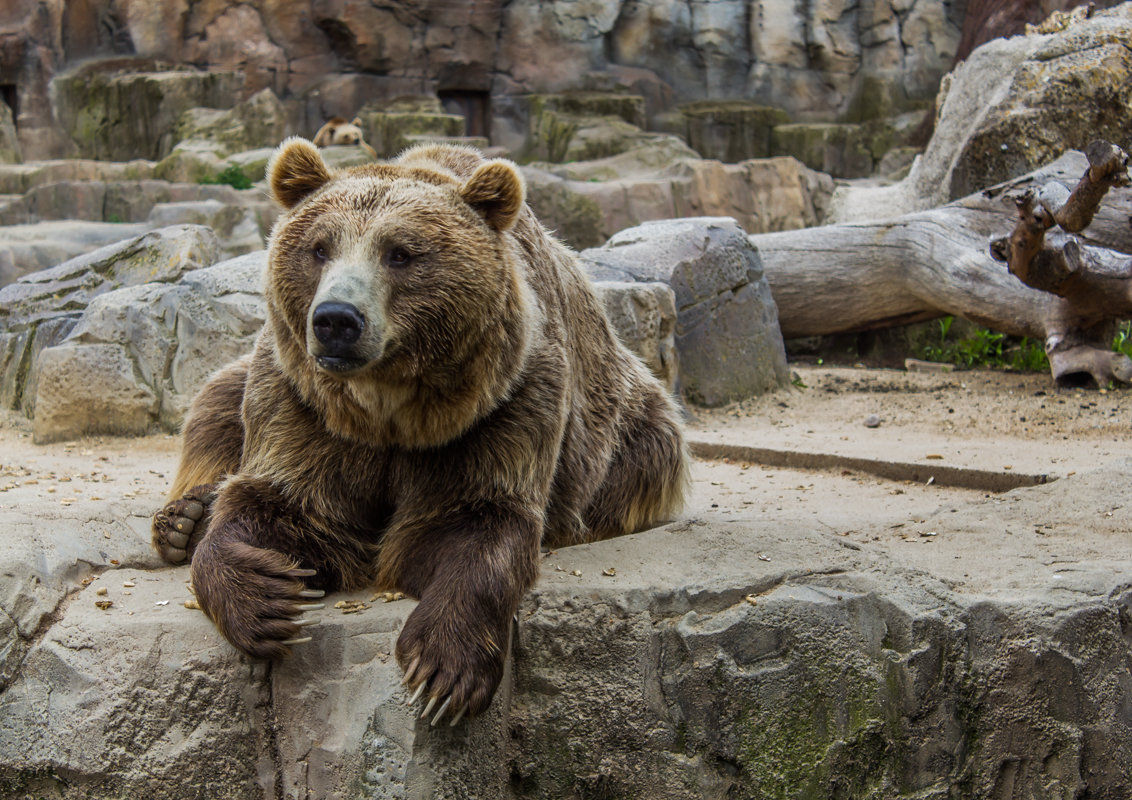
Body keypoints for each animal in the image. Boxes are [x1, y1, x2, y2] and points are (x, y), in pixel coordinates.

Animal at [151, 137, 683, 724]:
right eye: (319, 248)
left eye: (400, 253)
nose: (336, 319)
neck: (390, 411)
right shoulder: (306, 407)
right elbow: (277, 501)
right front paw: (265, 598)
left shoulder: (502, 407)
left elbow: (472, 523)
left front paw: (445, 672)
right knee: (215, 406)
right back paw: (184, 520)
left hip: (633, 432)